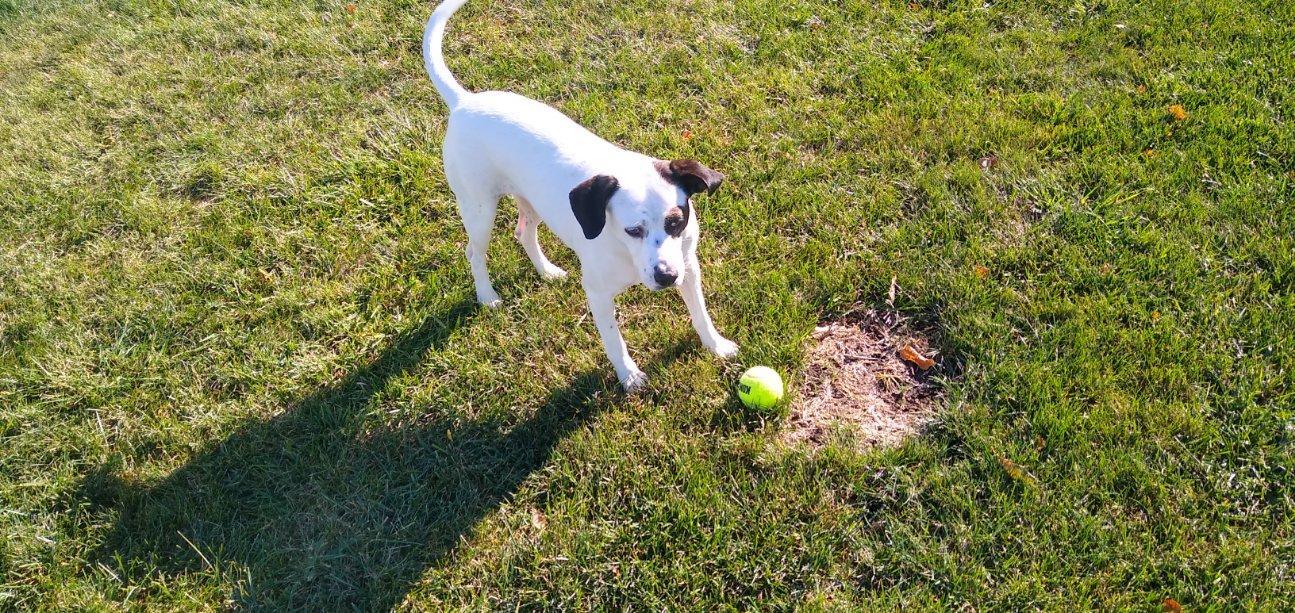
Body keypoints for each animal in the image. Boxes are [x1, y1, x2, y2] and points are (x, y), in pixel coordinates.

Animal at [419, 0, 735, 388]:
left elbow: (701, 314)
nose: (665, 278)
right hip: (479, 210)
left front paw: (716, 346)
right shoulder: (598, 293)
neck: (623, 250)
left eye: (676, 222)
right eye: (633, 230)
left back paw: (547, 272)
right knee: (474, 253)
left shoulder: (689, 268)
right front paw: (629, 376)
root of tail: (464, 102)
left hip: (532, 201)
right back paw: (487, 295)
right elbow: (614, 340)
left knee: (524, 233)